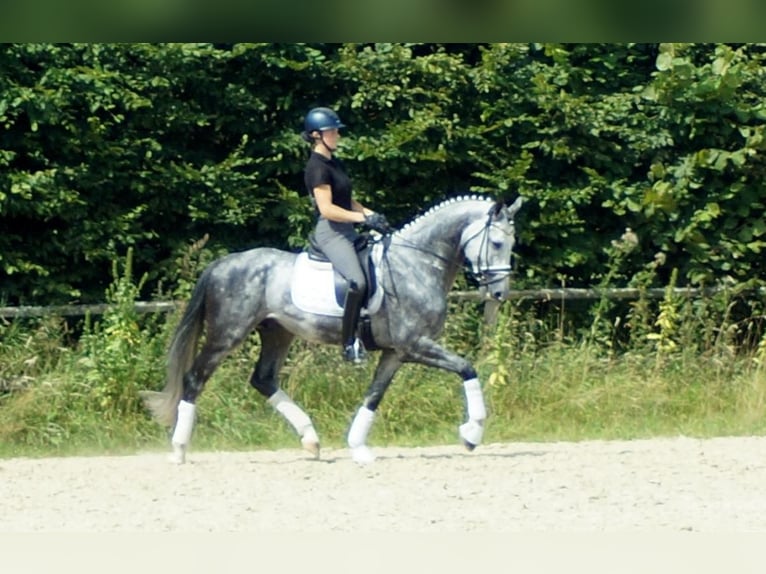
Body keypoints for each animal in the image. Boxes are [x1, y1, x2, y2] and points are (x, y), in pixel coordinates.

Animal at [141, 196, 524, 466]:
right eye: (497, 244)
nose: (499, 294)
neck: (416, 263)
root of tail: (222, 263)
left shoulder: (396, 352)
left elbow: (374, 395)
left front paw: (358, 448)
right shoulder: (416, 344)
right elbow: (467, 368)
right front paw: (471, 434)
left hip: (278, 332)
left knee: (263, 379)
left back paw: (310, 440)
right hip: (227, 334)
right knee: (195, 379)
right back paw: (179, 449)